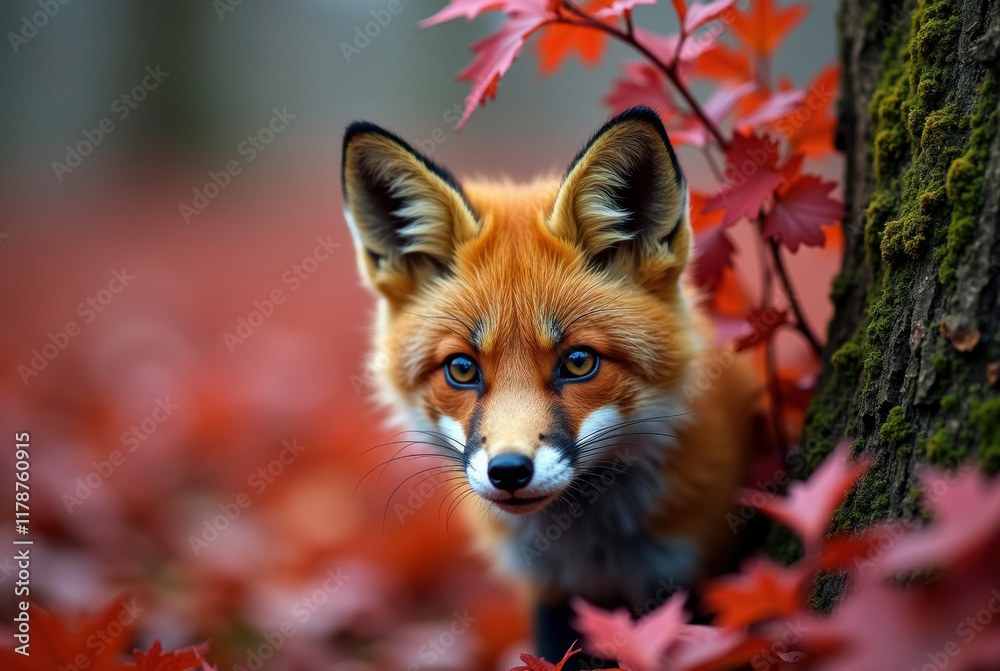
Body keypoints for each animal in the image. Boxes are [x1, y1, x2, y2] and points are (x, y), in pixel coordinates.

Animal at [341, 106, 763, 664]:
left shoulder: (690, 577)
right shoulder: (551, 597)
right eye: (462, 369)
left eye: (578, 362)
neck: (595, 553)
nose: (508, 471)